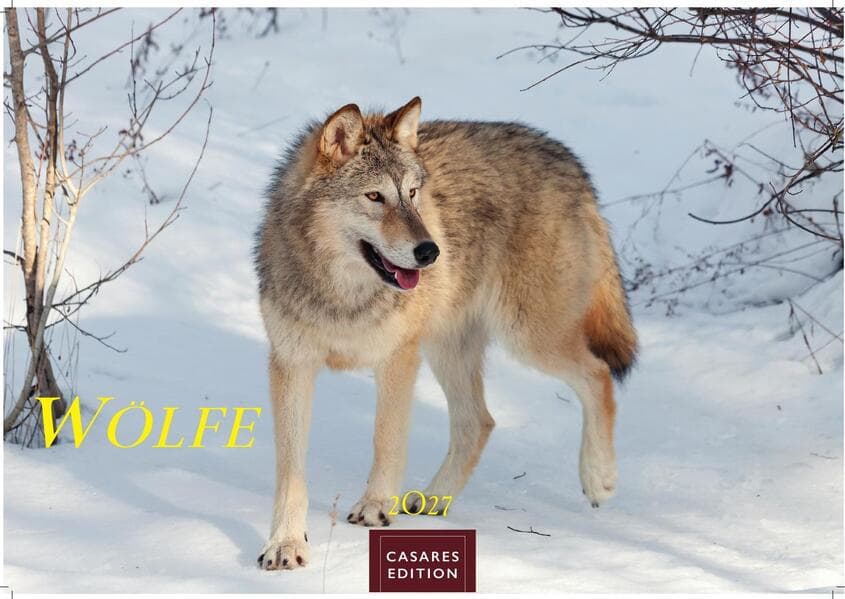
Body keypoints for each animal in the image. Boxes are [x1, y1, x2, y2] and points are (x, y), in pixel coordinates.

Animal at [254, 97, 637, 570]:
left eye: (412, 194)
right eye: (375, 196)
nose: (430, 251)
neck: (344, 295)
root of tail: (568, 158)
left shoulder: (398, 358)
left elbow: (386, 440)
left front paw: (375, 508)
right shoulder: (290, 365)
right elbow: (291, 470)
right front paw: (285, 545)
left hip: (527, 337)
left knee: (598, 375)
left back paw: (599, 479)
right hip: (450, 349)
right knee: (480, 421)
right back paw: (430, 504)